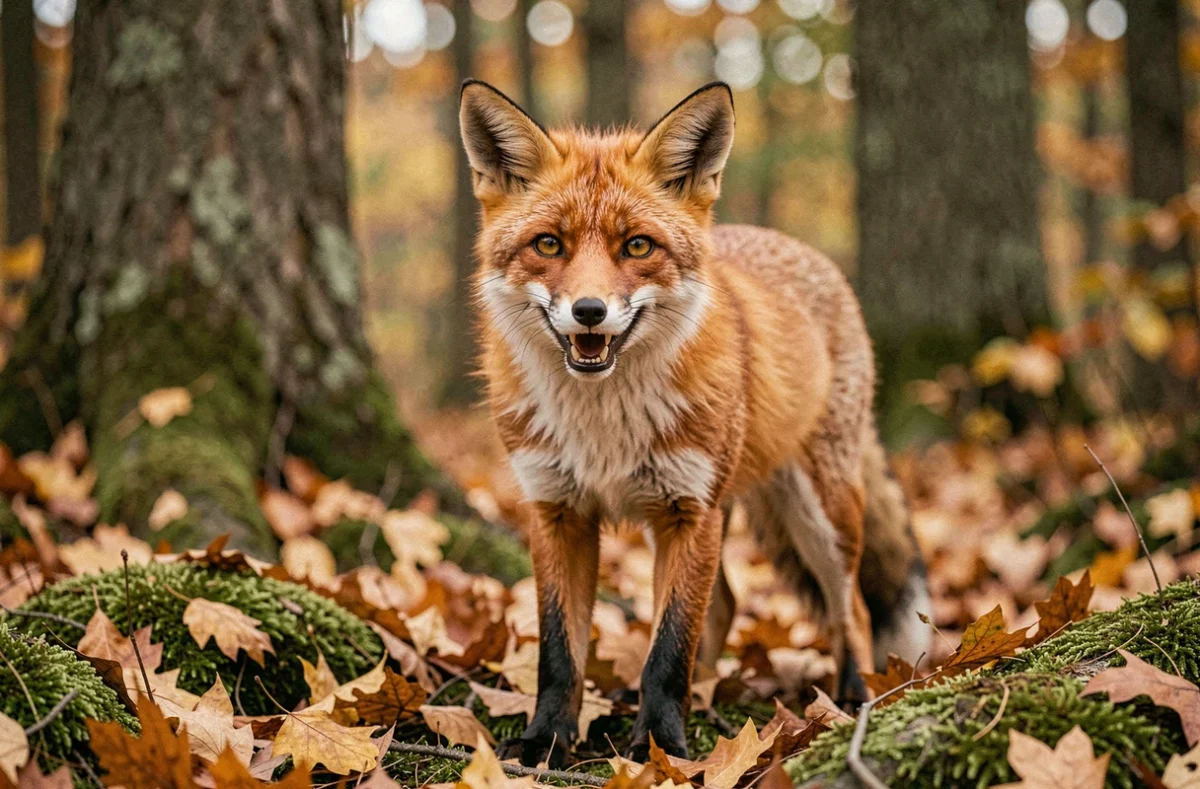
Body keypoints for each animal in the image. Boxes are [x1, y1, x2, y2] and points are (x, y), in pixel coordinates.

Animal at [458, 80, 930, 766]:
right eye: (549, 244)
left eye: (637, 245)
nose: (589, 311)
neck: (603, 423)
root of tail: (793, 245)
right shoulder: (556, 512)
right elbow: (560, 651)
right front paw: (545, 743)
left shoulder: (690, 510)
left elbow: (667, 648)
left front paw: (660, 747)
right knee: (726, 606)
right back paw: (703, 689)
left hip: (821, 514)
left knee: (853, 612)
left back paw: (853, 696)